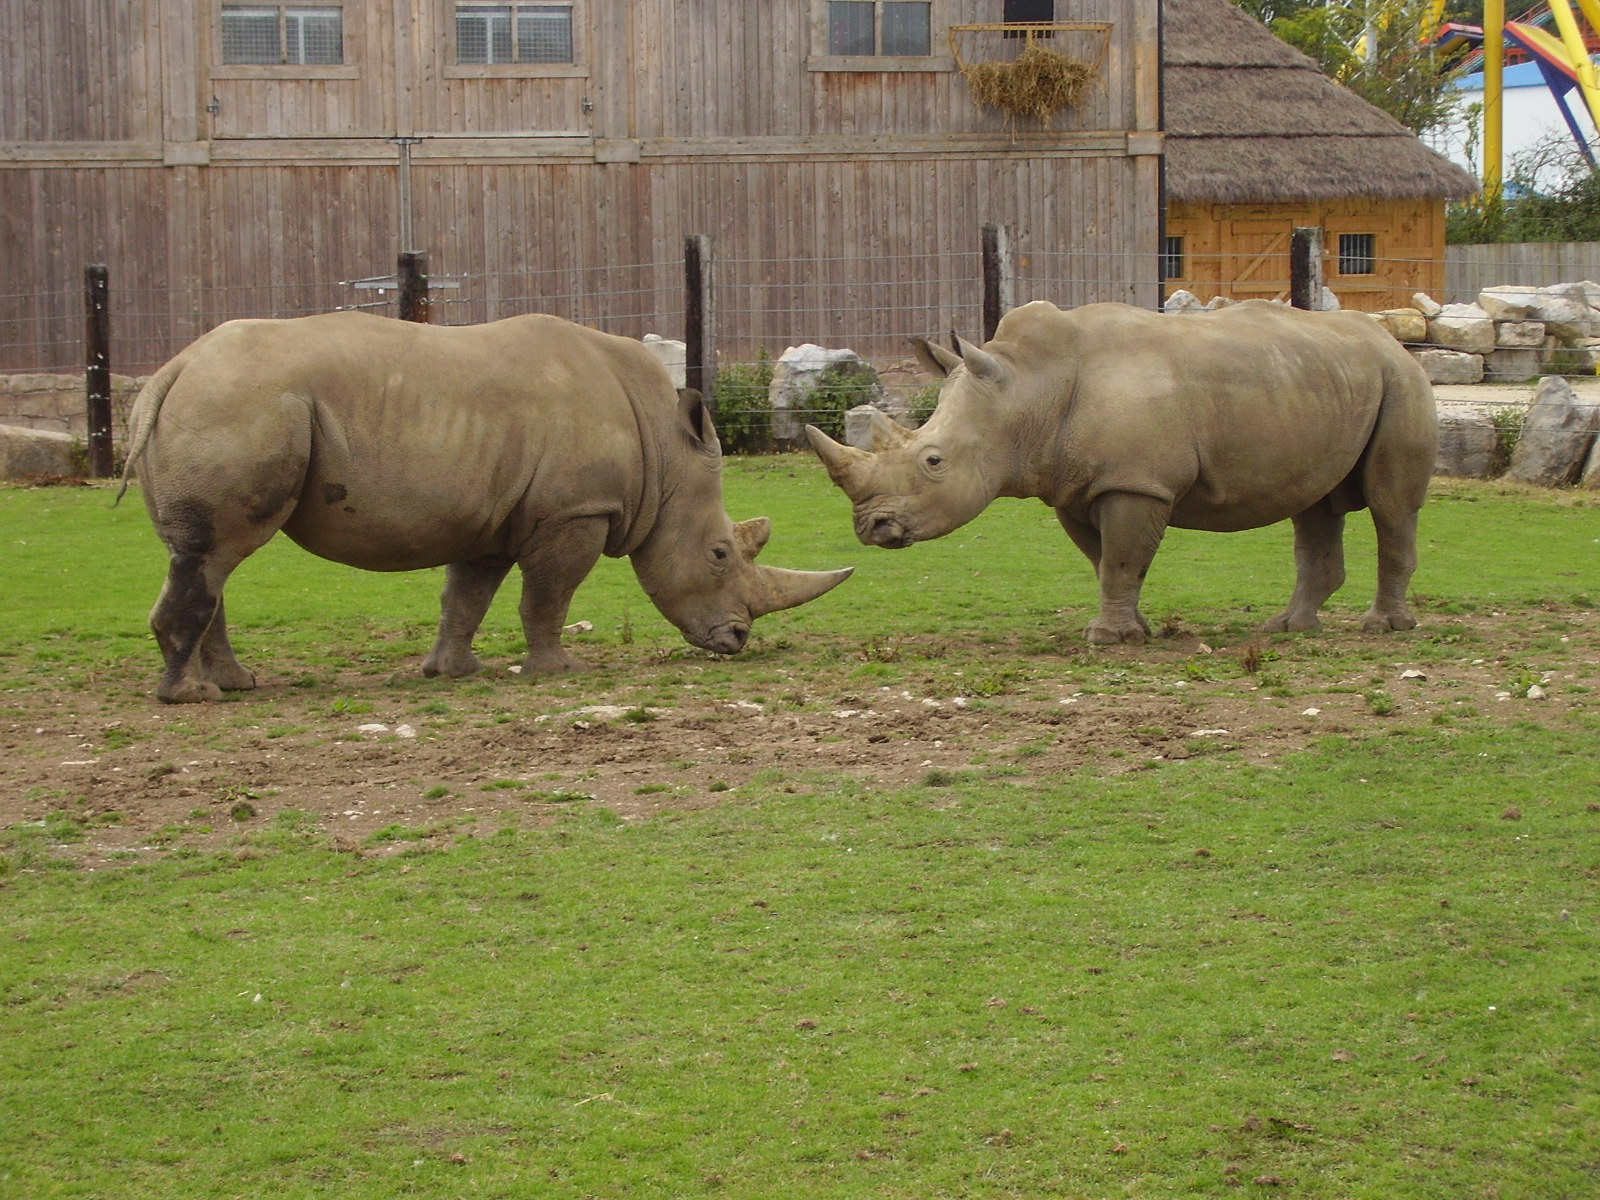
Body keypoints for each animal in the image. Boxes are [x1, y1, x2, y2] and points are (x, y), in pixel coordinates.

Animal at [118, 310, 851, 703]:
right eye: (720, 554)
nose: (738, 641)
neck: (664, 453)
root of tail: (173, 369)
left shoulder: (492, 517)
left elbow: (466, 595)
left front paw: (452, 672)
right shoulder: (575, 512)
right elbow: (548, 595)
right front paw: (559, 671)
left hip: (222, 403)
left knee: (207, 556)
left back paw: (235, 684)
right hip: (241, 404)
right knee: (216, 552)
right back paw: (192, 697)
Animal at [806, 300, 1437, 644]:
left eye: (933, 462)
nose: (871, 529)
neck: (1026, 391)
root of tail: (1389, 337)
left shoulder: (1136, 482)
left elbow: (1122, 559)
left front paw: (1108, 639)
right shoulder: (1074, 485)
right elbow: (1108, 561)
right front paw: (1135, 631)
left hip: (1402, 381)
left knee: (1391, 504)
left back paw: (1383, 628)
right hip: (1326, 381)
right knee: (1316, 505)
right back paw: (1288, 629)